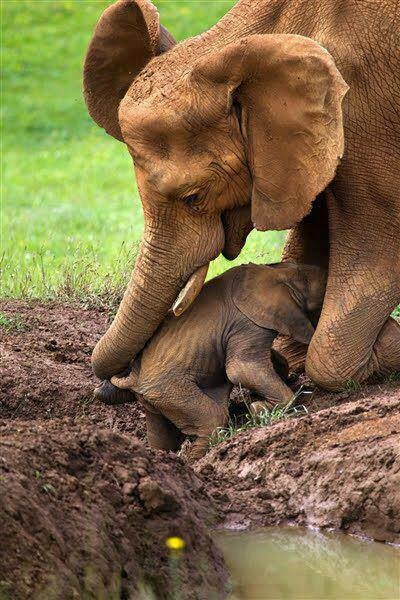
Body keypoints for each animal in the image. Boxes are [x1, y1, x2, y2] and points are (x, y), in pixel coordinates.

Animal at [111, 262, 326, 460]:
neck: (276, 271)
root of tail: (133, 378)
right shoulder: (247, 323)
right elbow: (240, 369)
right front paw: (258, 409)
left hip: (153, 397)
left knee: (162, 436)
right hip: (167, 387)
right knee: (213, 420)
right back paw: (194, 461)